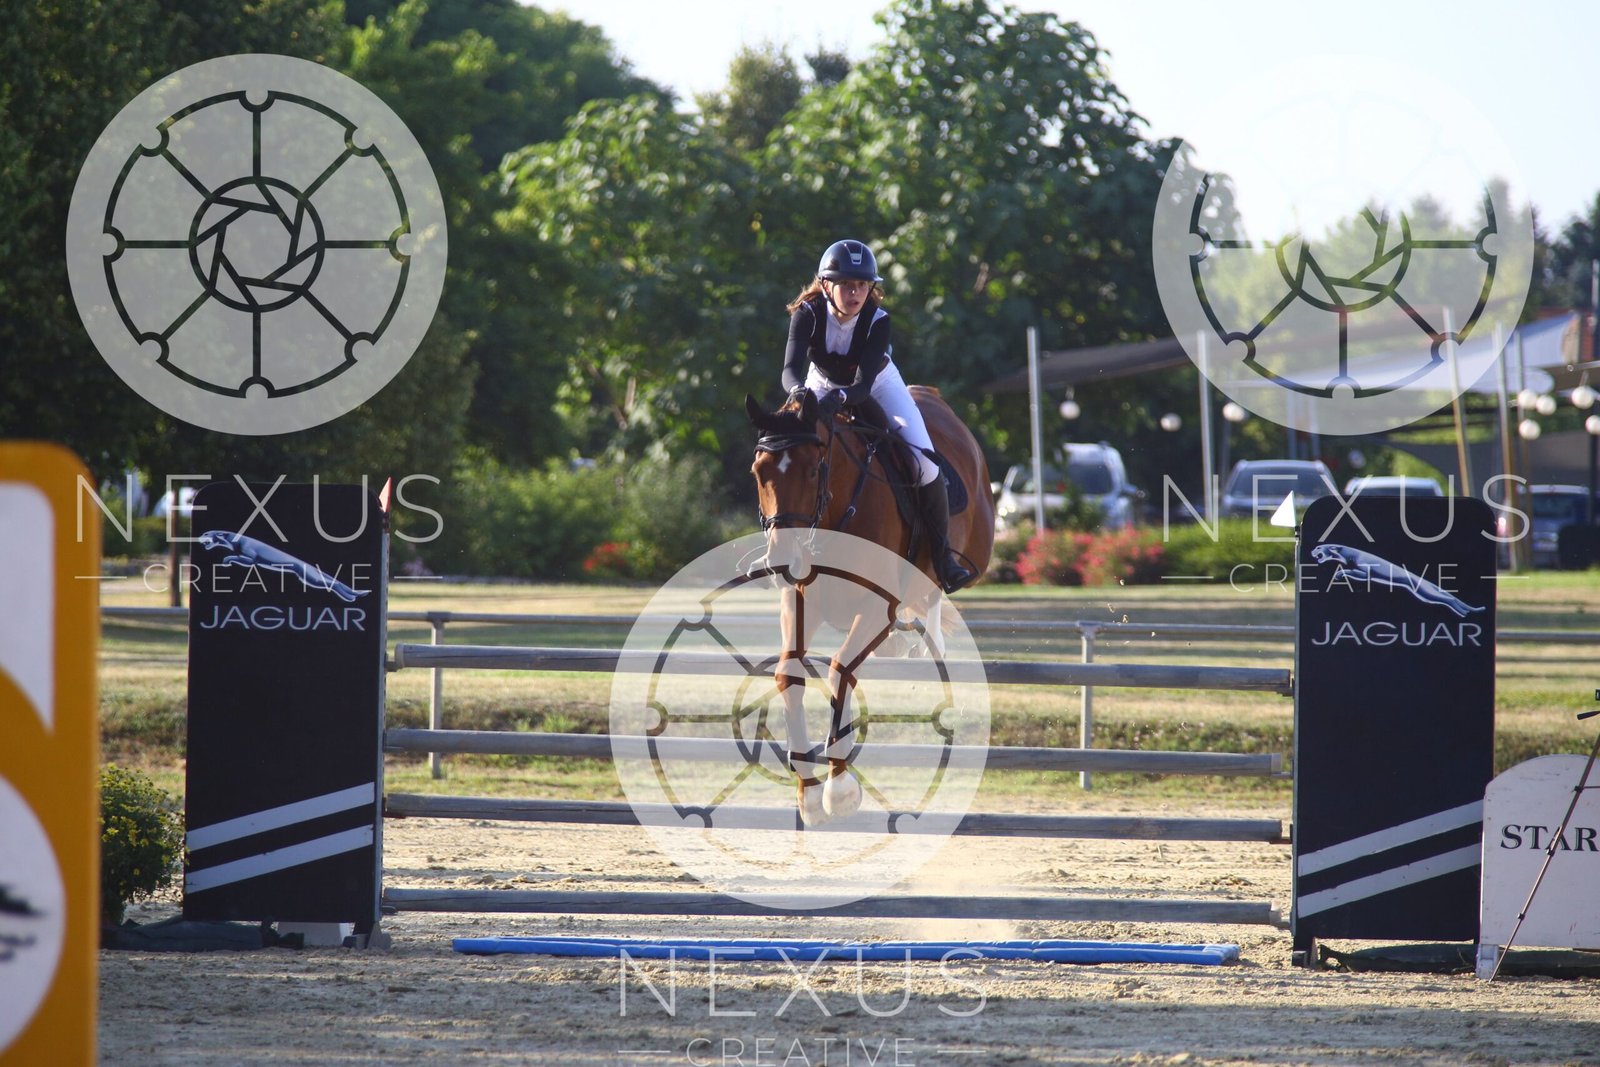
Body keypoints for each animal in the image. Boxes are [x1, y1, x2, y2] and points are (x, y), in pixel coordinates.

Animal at [744, 387, 994, 825]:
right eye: (759, 473)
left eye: (813, 470)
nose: (781, 562)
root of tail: (933, 397)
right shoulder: (799, 599)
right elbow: (788, 675)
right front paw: (809, 793)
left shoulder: (877, 604)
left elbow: (840, 669)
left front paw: (839, 789)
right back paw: (902, 643)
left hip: (970, 549)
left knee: (934, 587)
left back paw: (927, 641)